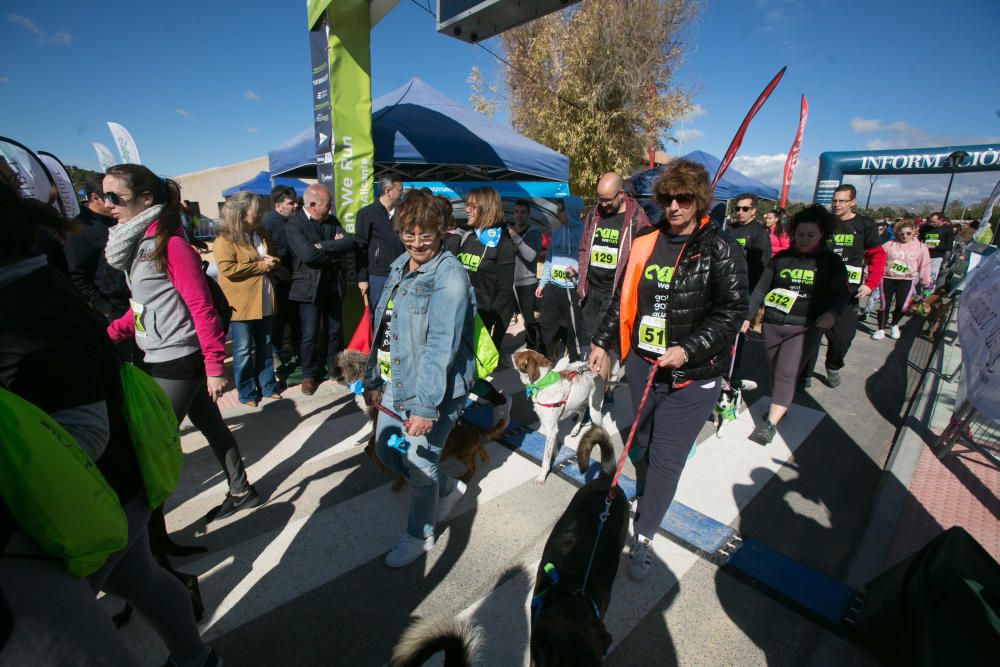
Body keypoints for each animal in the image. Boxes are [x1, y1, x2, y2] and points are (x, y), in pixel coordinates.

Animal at [512, 350, 604, 486]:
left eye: (517, 357)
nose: (513, 352)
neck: (542, 383)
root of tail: (590, 368)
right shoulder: (550, 427)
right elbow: (552, 448)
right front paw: (554, 456)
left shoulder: (551, 429)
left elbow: (545, 459)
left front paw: (542, 476)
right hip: (574, 404)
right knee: (582, 411)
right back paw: (575, 429)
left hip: (594, 409)